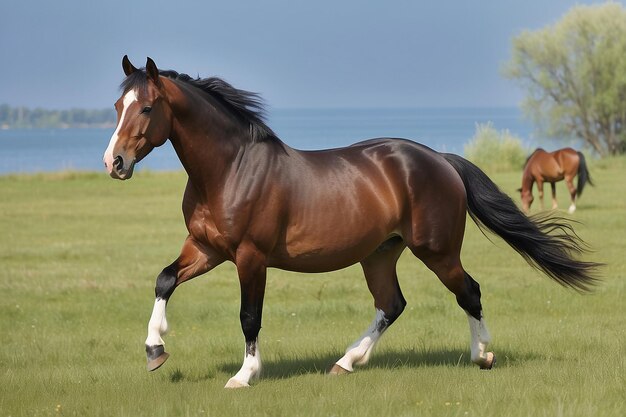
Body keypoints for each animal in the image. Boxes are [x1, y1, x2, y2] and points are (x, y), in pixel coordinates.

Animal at [101, 56, 596, 386]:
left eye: (146, 108)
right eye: (117, 105)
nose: (114, 162)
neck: (231, 168)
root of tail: (440, 160)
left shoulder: (249, 257)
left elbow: (249, 316)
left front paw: (244, 375)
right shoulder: (206, 249)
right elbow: (165, 280)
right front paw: (155, 350)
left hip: (436, 250)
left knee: (468, 292)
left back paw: (481, 355)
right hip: (380, 253)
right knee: (392, 304)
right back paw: (346, 362)